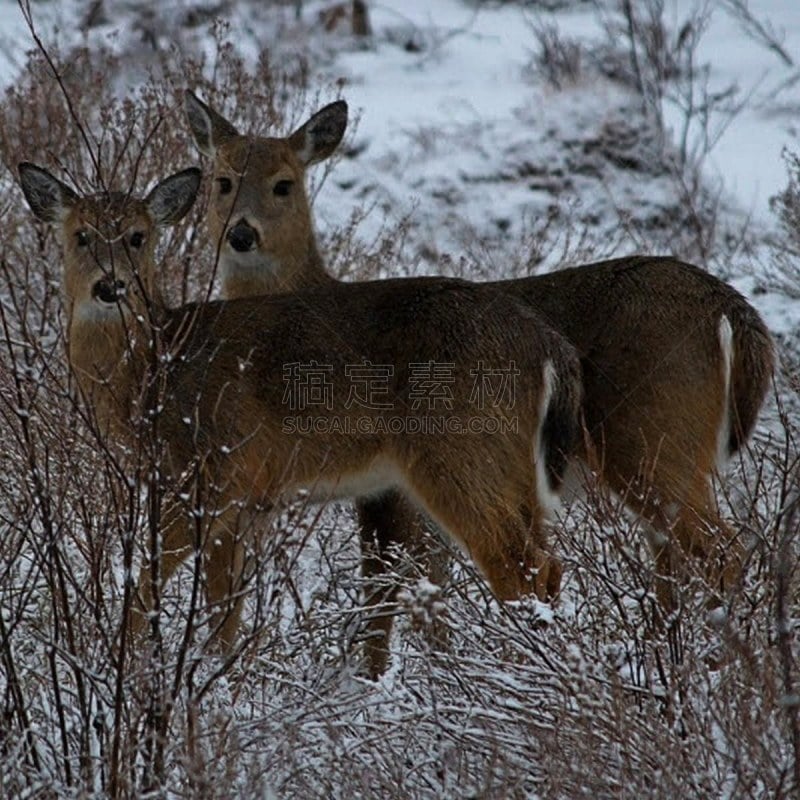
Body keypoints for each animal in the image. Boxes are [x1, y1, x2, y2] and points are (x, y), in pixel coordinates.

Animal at [18, 159, 580, 652]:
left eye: (138, 236)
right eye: (81, 235)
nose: (110, 286)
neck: (156, 372)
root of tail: (547, 343)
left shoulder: (211, 477)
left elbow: (146, 589)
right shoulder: (247, 502)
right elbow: (225, 612)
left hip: (460, 451)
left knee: (519, 568)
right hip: (512, 470)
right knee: (548, 564)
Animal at [186, 90, 776, 672]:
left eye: (283, 183)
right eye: (223, 180)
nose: (242, 234)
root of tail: (735, 312)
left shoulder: (390, 486)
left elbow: (384, 587)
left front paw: (373, 680)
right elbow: (429, 587)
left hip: (650, 439)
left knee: (720, 551)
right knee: (674, 560)